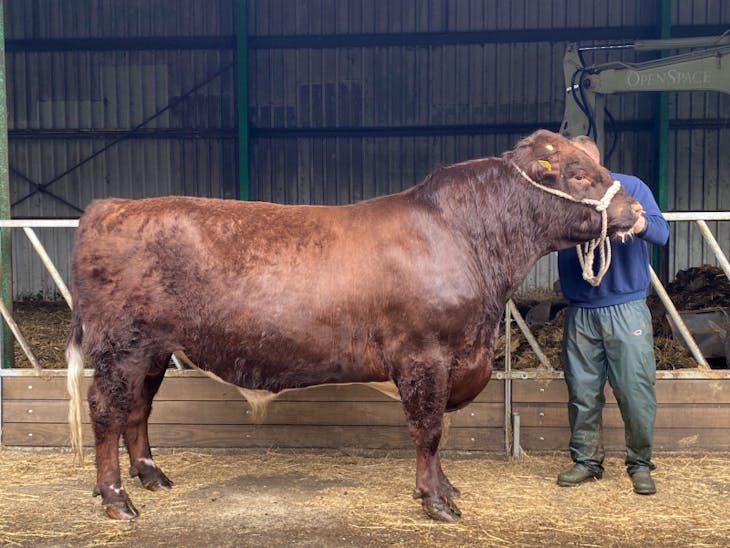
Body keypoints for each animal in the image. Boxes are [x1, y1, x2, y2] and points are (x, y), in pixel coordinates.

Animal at [66, 129, 641, 523]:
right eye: (578, 174)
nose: (636, 211)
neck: (467, 239)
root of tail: (110, 207)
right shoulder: (424, 355)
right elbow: (429, 430)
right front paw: (436, 501)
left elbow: (438, 432)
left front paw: (446, 488)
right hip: (122, 345)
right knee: (106, 409)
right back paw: (116, 499)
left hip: (153, 350)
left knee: (138, 408)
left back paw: (151, 476)